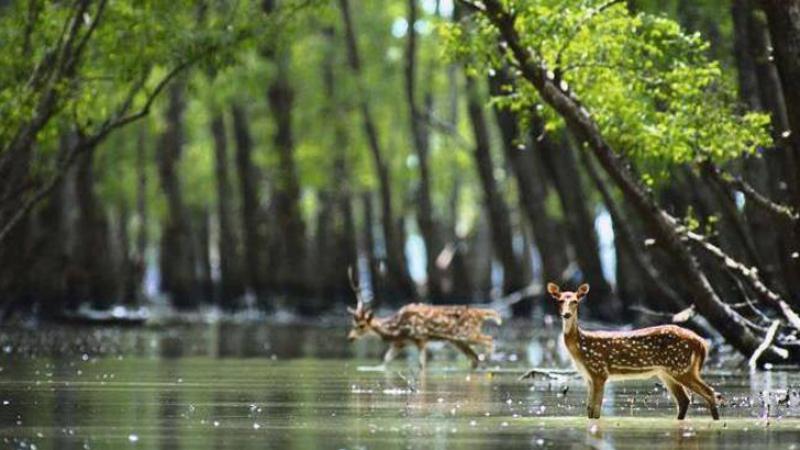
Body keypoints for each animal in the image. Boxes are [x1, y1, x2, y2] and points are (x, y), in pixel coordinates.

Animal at [344, 278, 500, 370]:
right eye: (352, 323)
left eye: (361, 325)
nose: (350, 338)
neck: (396, 328)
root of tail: (480, 313)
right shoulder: (400, 343)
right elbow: (385, 360)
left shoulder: (420, 338)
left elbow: (422, 365)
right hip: (458, 341)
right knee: (474, 358)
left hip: (467, 333)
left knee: (489, 339)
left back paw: (489, 360)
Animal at [548, 284, 720, 420]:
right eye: (560, 300)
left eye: (575, 301)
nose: (566, 314)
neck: (580, 347)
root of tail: (701, 342)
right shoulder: (588, 376)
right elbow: (589, 410)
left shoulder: (599, 372)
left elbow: (596, 411)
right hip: (668, 372)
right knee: (684, 400)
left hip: (681, 367)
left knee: (710, 392)